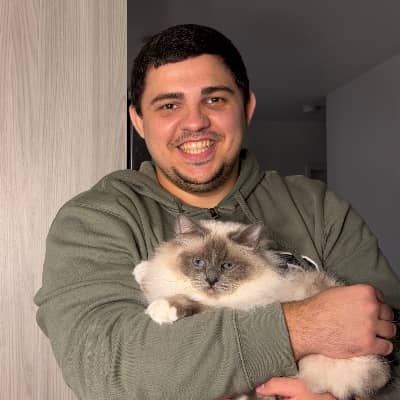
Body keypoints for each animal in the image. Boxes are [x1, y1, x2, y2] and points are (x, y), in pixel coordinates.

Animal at [133, 215, 390, 400]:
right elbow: (155, 275)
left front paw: (160, 308)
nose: (211, 280)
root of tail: (380, 371)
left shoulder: (235, 310)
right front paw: (141, 270)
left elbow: (189, 302)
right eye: (199, 262)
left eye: (227, 266)